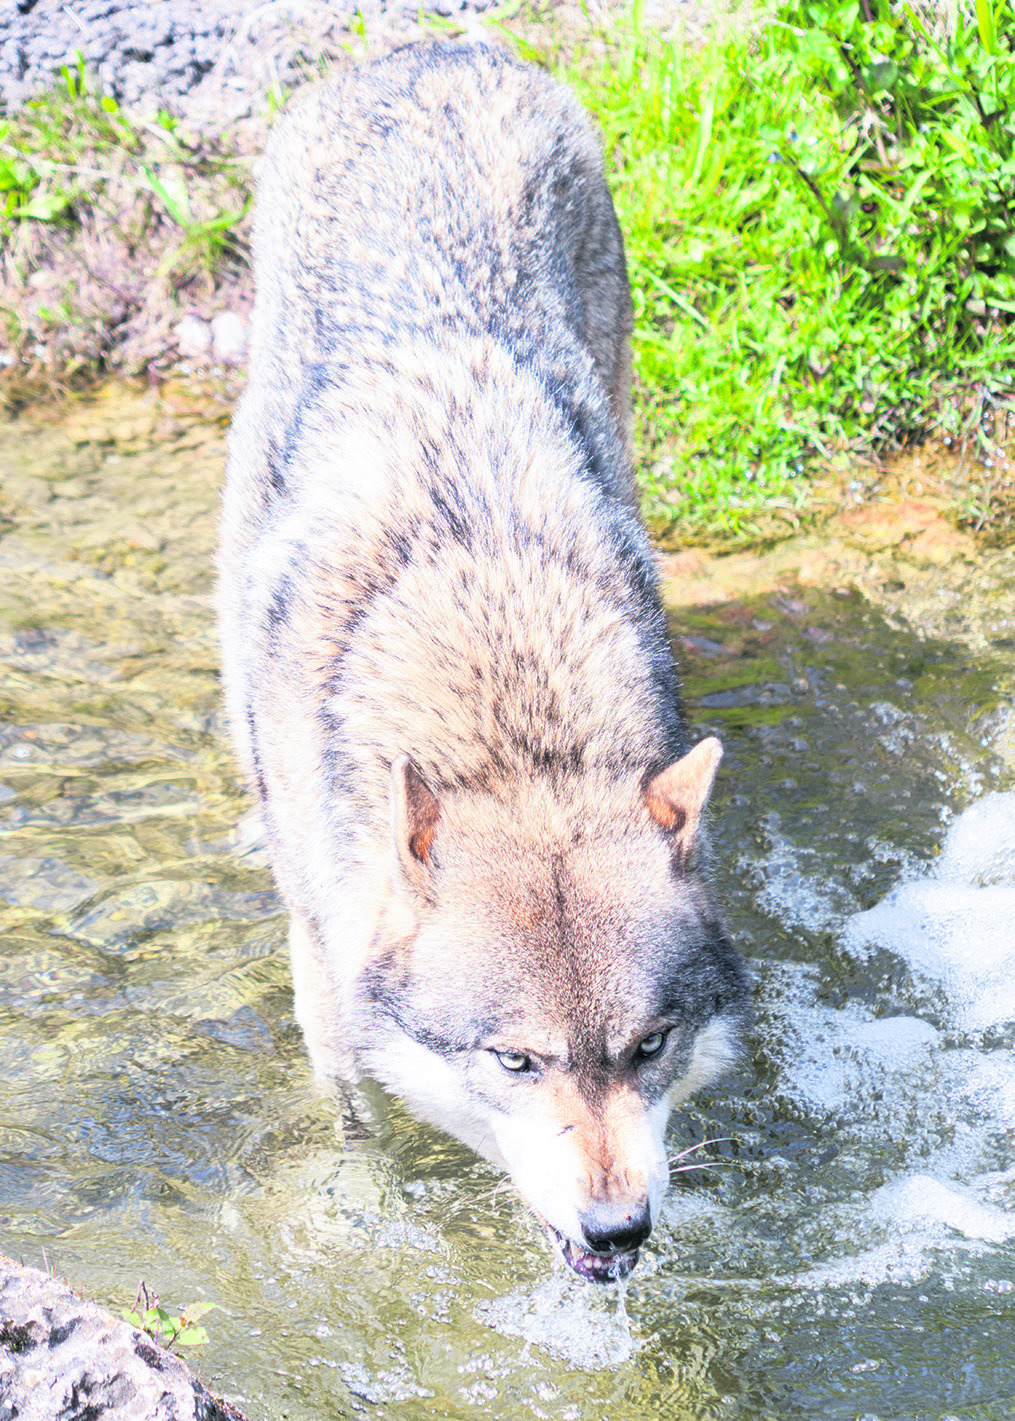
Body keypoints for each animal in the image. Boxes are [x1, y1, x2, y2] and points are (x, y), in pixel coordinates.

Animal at [217, 38, 744, 1284]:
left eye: (647, 1043)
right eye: (516, 1060)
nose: (618, 1228)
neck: (507, 724)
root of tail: (433, 48)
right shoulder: (325, 981)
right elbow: (353, 1124)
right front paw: (358, 1213)